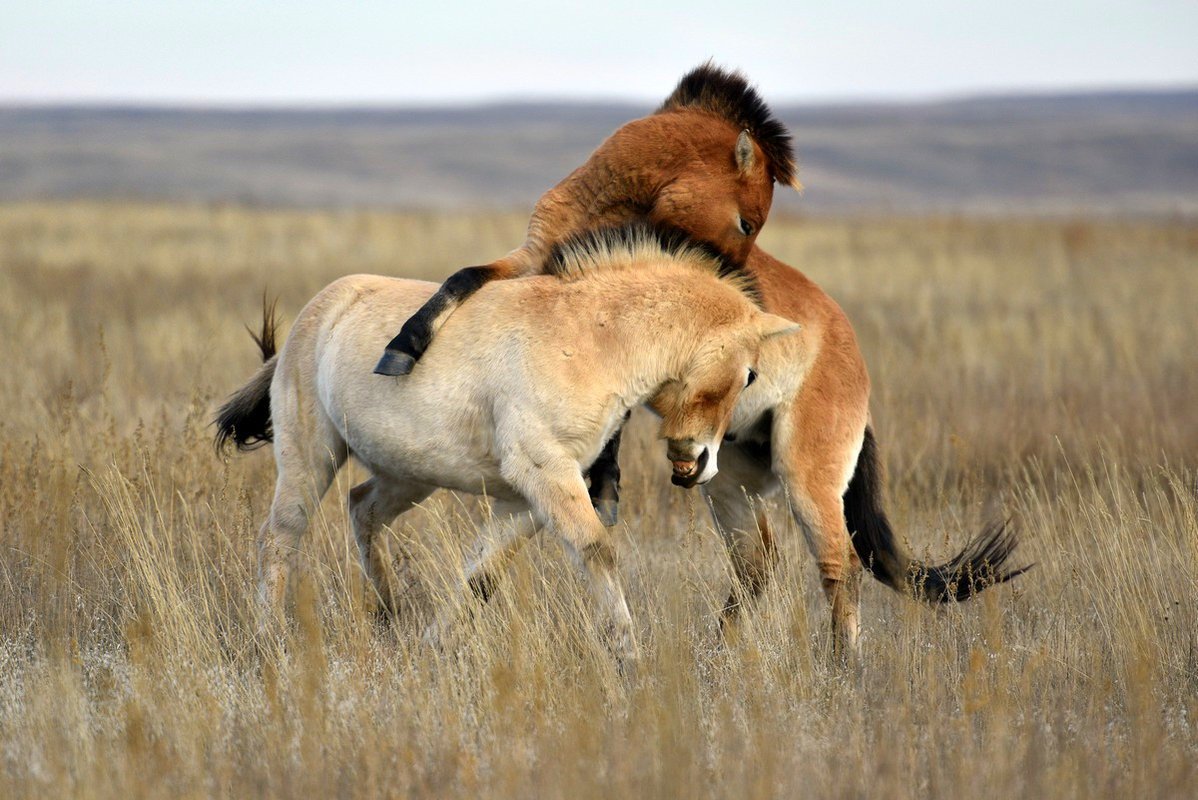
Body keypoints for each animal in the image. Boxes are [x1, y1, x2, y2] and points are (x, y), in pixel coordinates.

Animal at [218, 221, 795, 665]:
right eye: (749, 374)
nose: (699, 463)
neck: (589, 340)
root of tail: (314, 315)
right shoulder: (546, 476)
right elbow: (598, 552)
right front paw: (629, 659)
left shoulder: (523, 501)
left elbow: (480, 576)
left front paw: (430, 649)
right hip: (311, 458)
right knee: (280, 537)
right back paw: (268, 642)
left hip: (407, 474)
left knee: (363, 510)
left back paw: (391, 616)